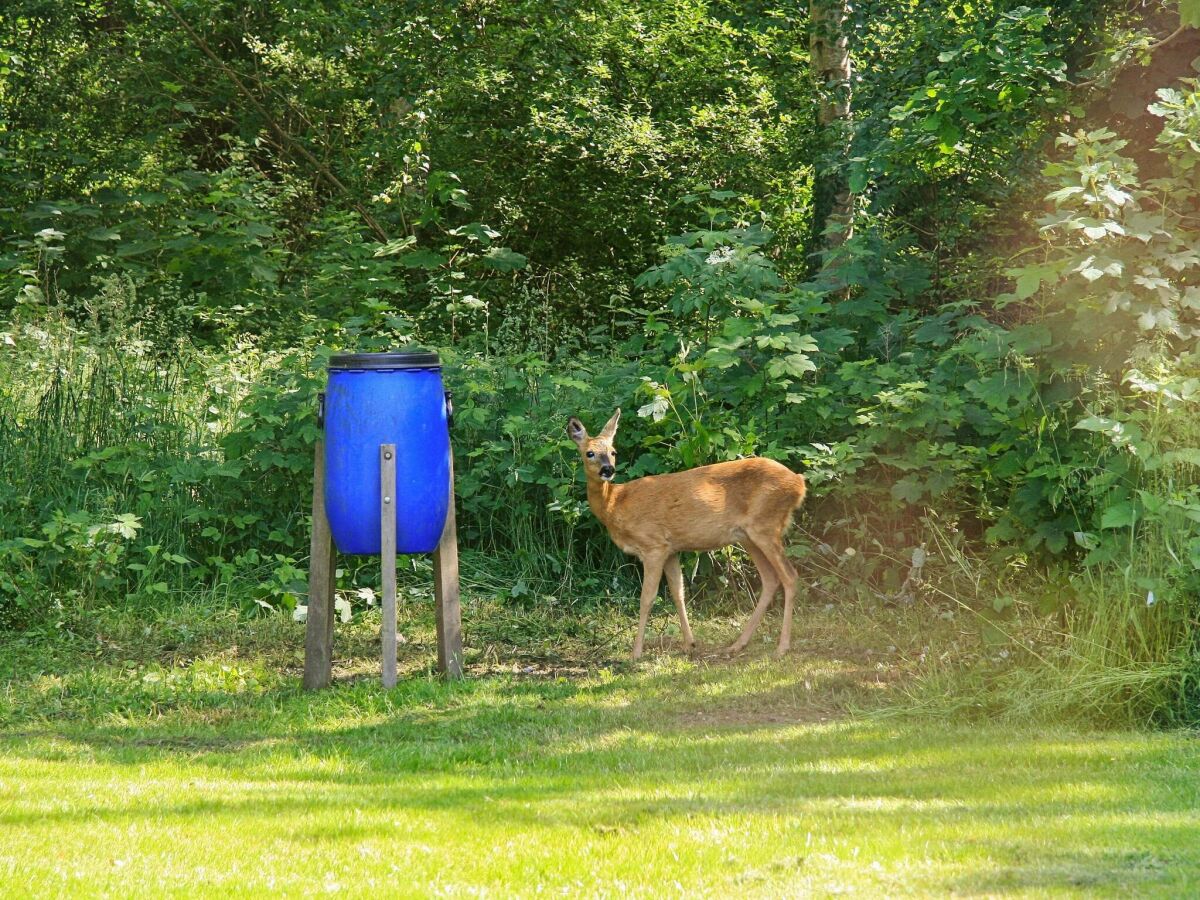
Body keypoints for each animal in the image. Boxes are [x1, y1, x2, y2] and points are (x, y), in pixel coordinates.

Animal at [568, 412, 811, 657]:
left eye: (613, 452)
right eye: (589, 453)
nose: (608, 469)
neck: (615, 504)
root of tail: (799, 483)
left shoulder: (653, 545)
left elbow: (647, 598)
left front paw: (636, 653)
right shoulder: (671, 549)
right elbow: (678, 593)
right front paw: (689, 644)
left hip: (766, 526)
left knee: (789, 576)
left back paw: (782, 647)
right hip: (748, 536)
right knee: (770, 579)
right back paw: (738, 644)